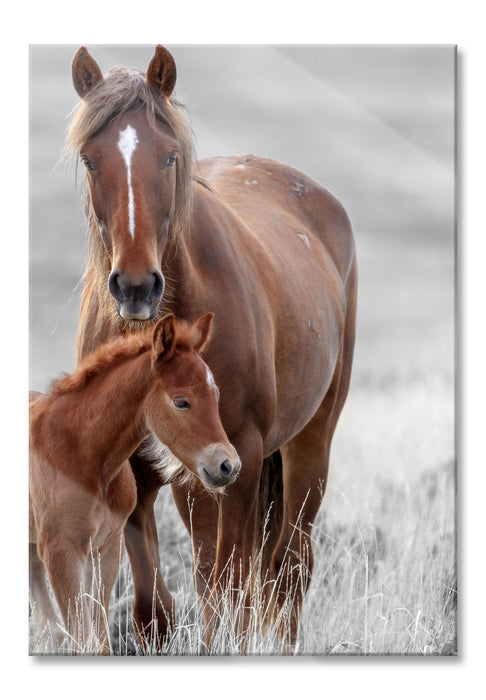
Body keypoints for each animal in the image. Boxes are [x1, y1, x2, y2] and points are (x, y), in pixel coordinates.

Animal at [29, 314, 240, 652]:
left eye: (216, 396)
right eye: (181, 402)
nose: (228, 466)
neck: (83, 455)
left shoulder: (106, 548)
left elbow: (98, 638)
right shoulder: (60, 551)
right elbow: (81, 637)